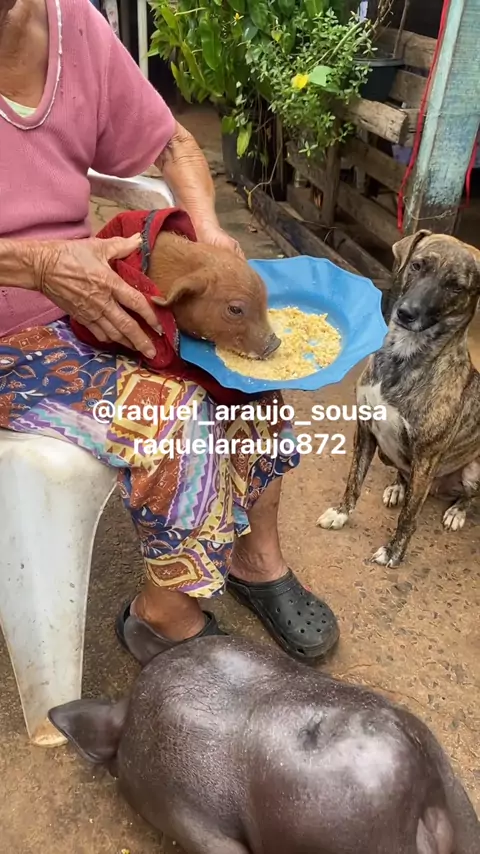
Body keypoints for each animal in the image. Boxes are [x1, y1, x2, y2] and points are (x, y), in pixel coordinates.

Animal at [317, 230, 480, 567]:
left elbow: (409, 517)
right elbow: (353, 481)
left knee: (469, 496)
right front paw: (341, 513)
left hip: (473, 470)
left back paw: (457, 511)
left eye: (456, 286)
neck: (404, 354)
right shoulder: (365, 430)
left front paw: (394, 551)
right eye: (417, 265)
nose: (407, 313)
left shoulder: (427, 459)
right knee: (403, 476)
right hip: (388, 454)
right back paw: (396, 488)